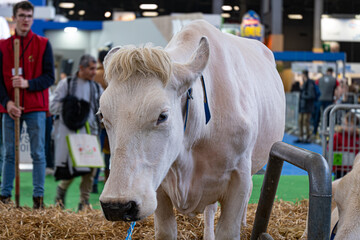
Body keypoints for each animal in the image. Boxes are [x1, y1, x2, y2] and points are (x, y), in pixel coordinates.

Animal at [98, 19, 284, 239]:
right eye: (102, 116)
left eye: (163, 116)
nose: (117, 206)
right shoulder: (158, 188)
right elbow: (166, 231)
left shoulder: (239, 179)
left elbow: (228, 230)